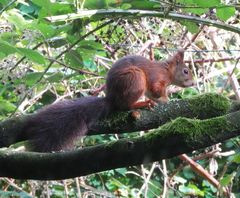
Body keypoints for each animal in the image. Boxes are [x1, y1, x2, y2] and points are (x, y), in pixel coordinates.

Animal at [22, 49, 195, 152]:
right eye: (186, 71)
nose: (193, 83)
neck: (167, 71)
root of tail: (111, 98)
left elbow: (155, 95)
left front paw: (164, 100)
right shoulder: (156, 79)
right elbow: (157, 90)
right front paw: (166, 98)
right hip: (135, 78)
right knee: (123, 106)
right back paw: (141, 103)